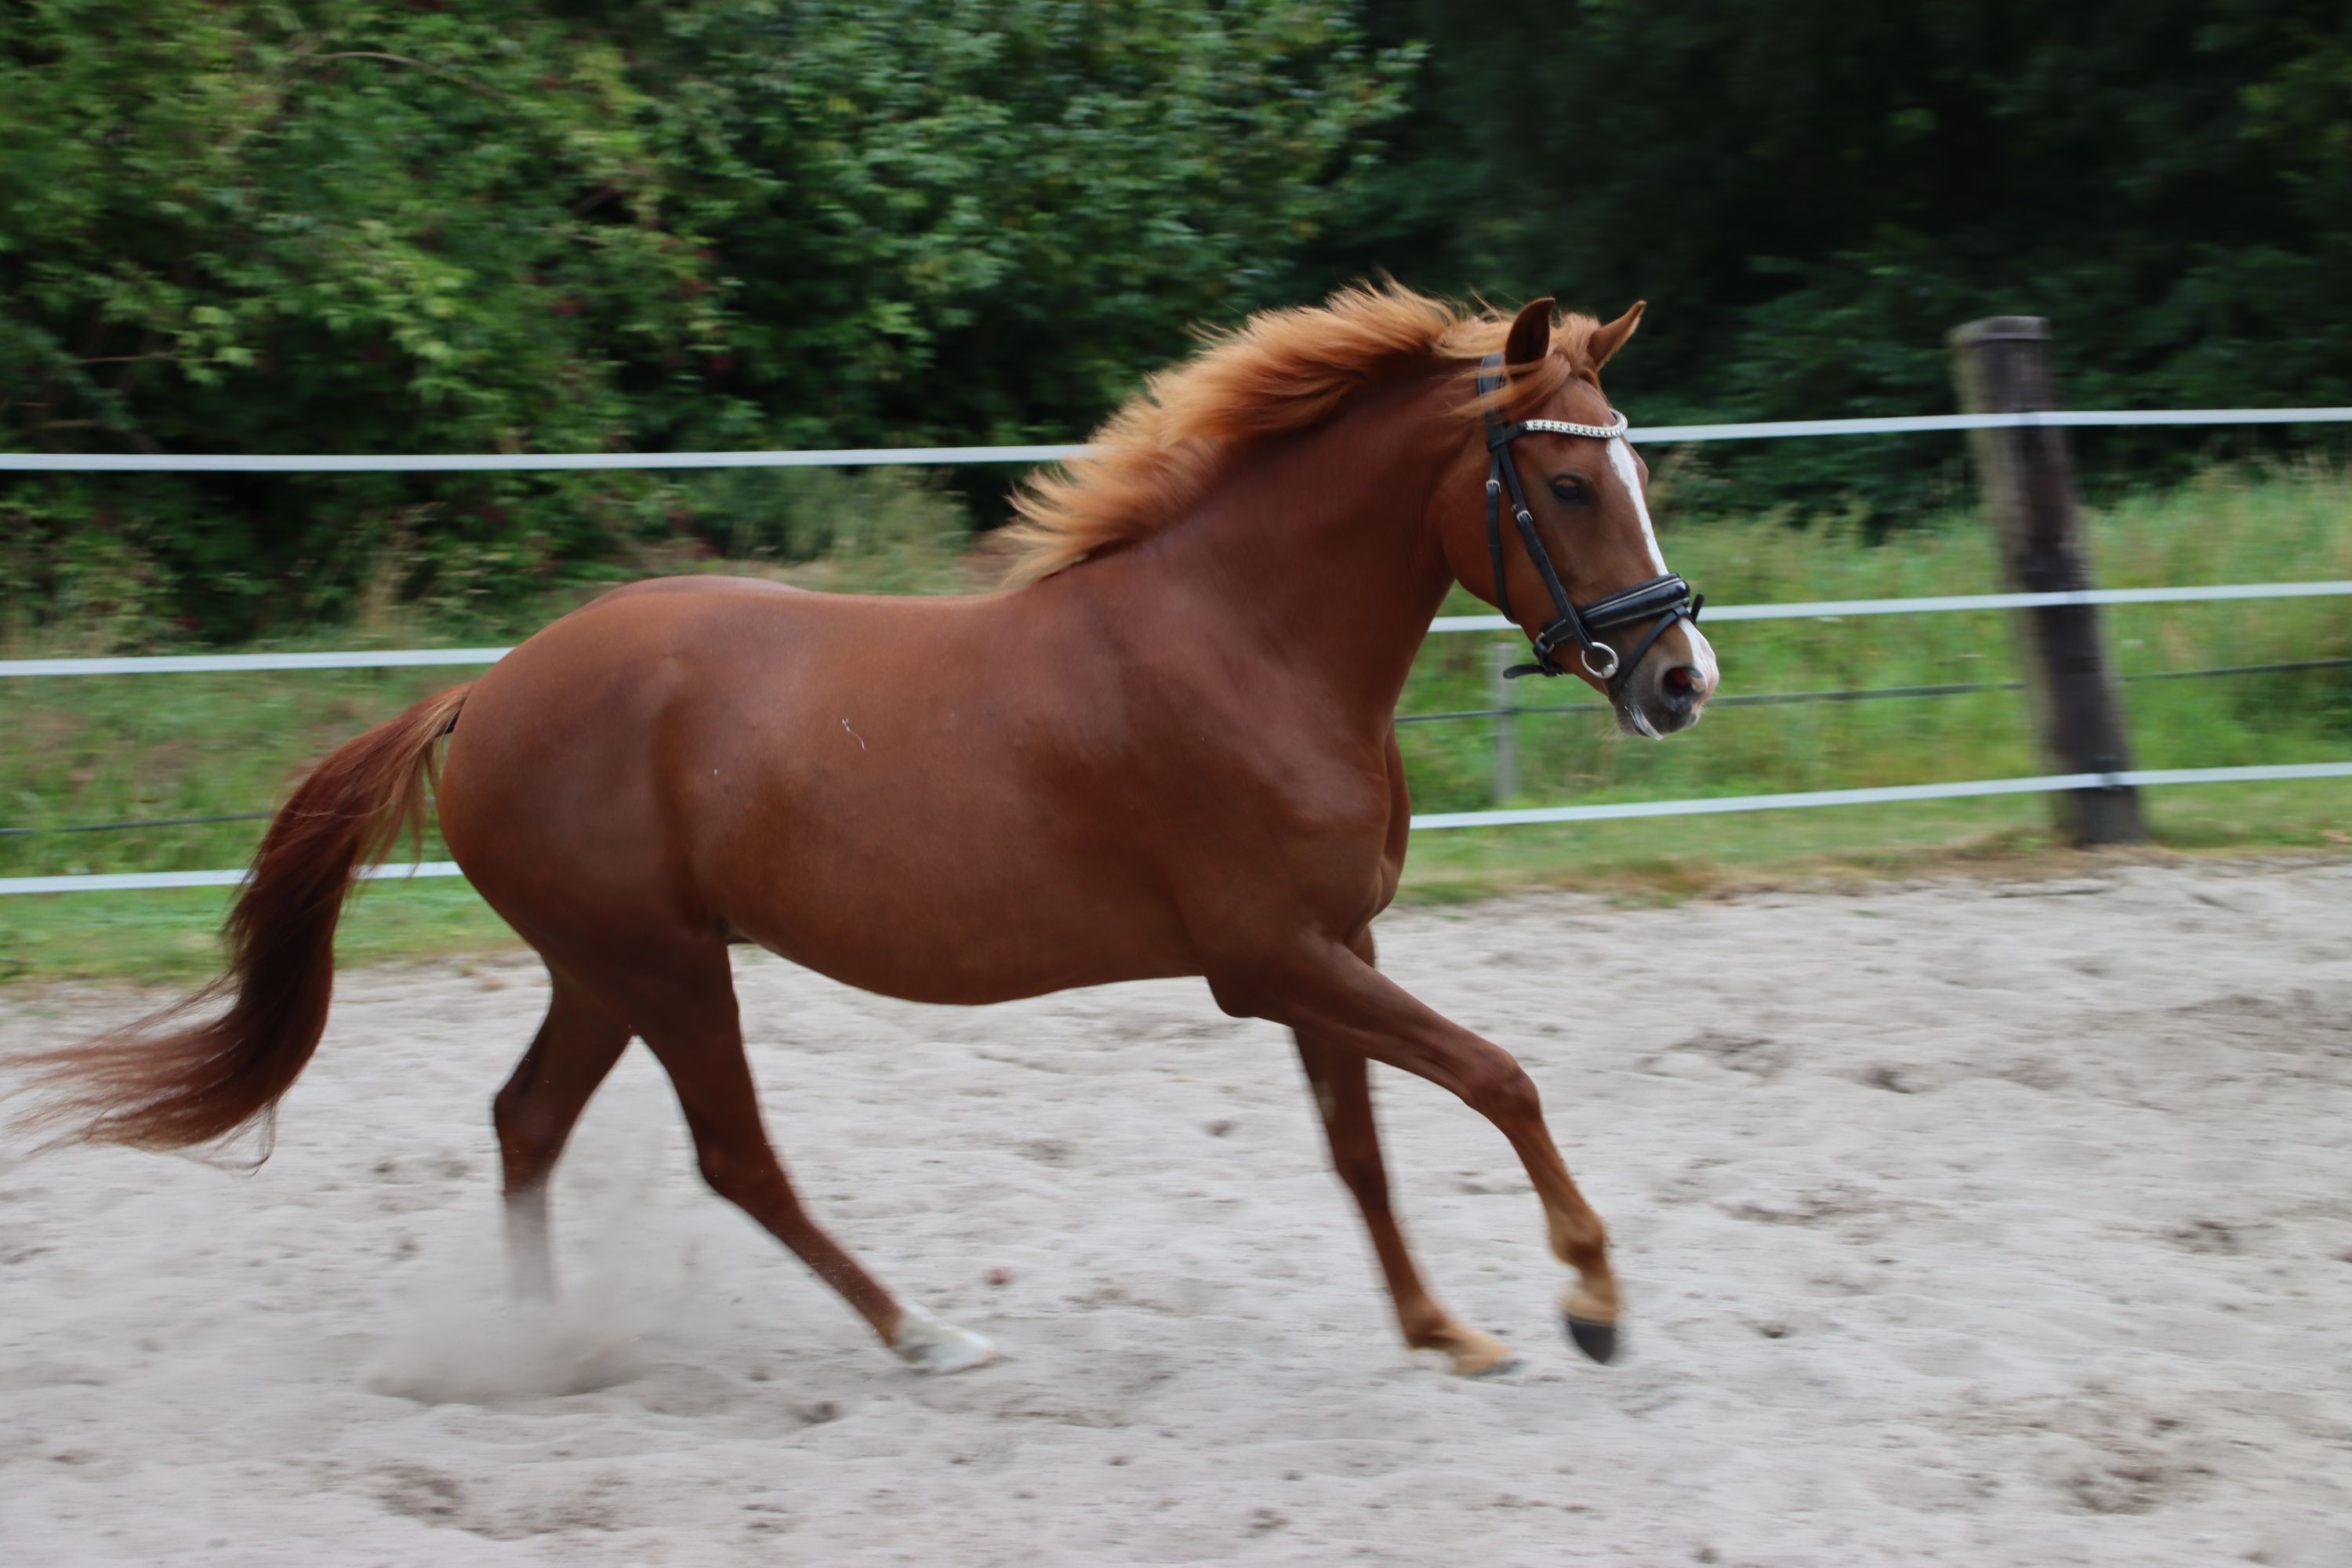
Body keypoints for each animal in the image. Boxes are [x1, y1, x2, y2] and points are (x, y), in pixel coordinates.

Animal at [12, 286, 1718, 1378]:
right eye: (1569, 483)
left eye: (1638, 466)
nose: (1681, 678)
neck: (1247, 645)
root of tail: (485, 693)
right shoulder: (1274, 958)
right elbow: (1498, 1076)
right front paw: (1592, 1301)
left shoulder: (1330, 950)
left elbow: (1361, 1149)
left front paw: (1448, 1332)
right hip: (666, 969)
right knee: (732, 1157)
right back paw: (922, 1332)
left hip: (607, 969)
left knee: (526, 1122)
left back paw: (547, 1347)